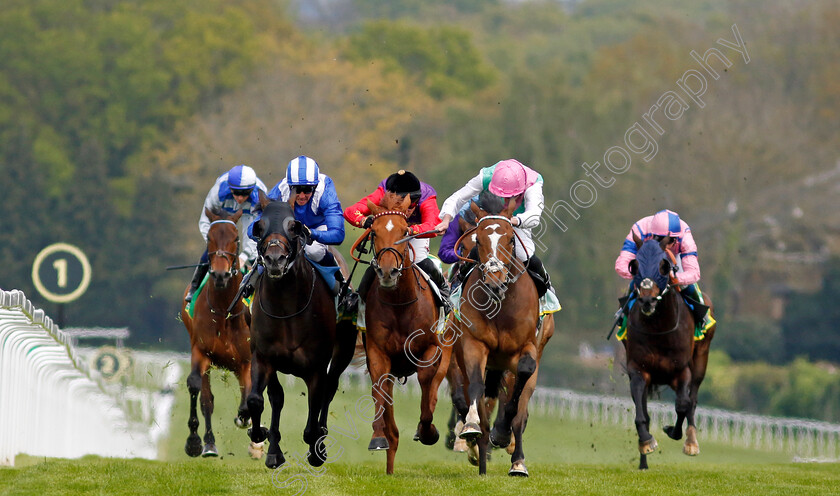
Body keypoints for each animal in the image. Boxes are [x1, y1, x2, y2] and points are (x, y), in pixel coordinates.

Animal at [181, 205, 253, 458]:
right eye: (209, 239)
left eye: (236, 238)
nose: (221, 275)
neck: (224, 310)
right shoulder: (201, 351)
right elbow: (198, 390)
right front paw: (194, 442)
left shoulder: (246, 362)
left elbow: (248, 400)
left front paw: (246, 421)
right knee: (207, 399)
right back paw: (210, 444)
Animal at [246, 195, 358, 468]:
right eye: (259, 226)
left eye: (294, 227)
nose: (275, 259)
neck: (287, 309)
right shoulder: (263, 357)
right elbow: (259, 399)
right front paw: (261, 435)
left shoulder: (316, 367)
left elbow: (313, 416)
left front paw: (316, 450)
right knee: (276, 397)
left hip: (344, 351)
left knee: (330, 388)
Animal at [360, 193, 452, 472]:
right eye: (374, 231)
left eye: (405, 232)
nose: (387, 272)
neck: (400, 303)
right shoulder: (377, 352)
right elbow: (379, 387)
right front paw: (378, 436)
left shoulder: (430, 349)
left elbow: (426, 382)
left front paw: (427, 431)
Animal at [452, 198, 544, 476]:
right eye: (479, 241)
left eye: (511, 239)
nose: (495, 280)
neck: (500, 305)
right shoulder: (474, 344)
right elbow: (475, 387)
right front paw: (471, 428)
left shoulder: (526, 348)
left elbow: (517, 393)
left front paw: (502, 434)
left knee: (520, 413)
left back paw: (518, 462)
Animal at [624, 235, 716, 468]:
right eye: (633, 265)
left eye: (664, 266)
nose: (647, 300)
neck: (659, 329)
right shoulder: (638, 369)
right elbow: (641, 413)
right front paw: (646, 442)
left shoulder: (681, 370)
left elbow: (683, 404)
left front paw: (672, 431)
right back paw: (644, 461)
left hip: (701, 359)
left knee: (692, 399)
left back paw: (691, 441)